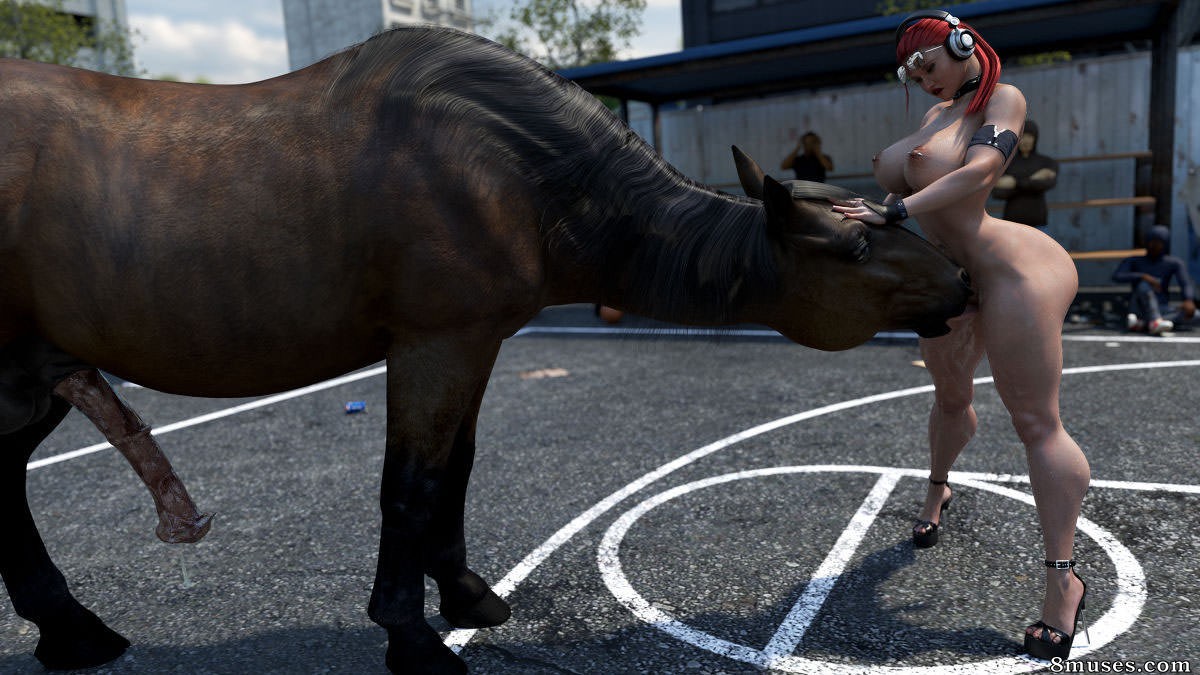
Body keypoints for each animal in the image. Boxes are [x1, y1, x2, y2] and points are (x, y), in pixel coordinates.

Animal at [0, 26, 971, 673]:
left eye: (893, 218)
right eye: (856, 246)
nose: (964, 283)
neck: (516, 172)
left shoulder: (476, 345)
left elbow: (454, 473)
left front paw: (465, 592)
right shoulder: (436, 343)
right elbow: (410, 485)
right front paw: (411, 632)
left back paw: (71, 628)